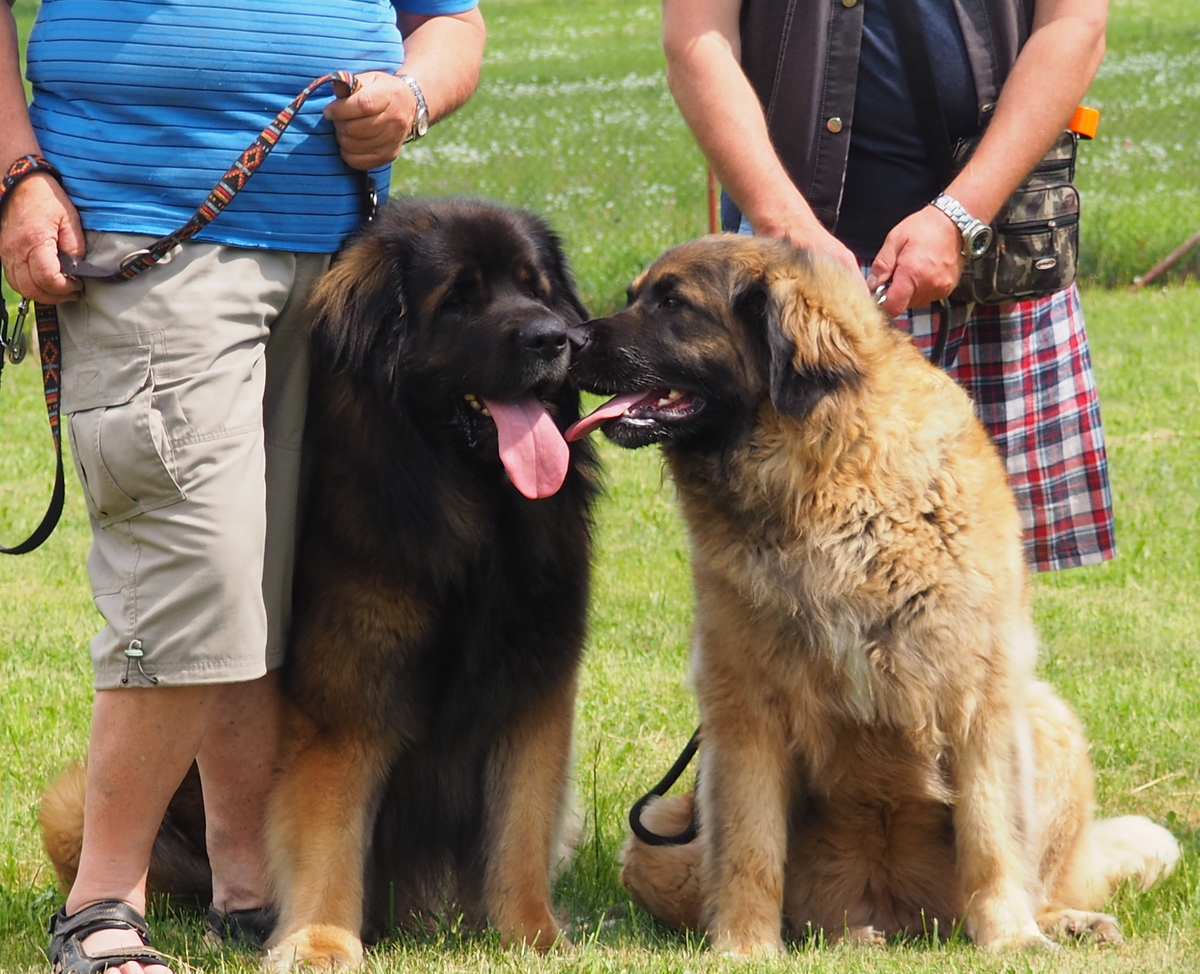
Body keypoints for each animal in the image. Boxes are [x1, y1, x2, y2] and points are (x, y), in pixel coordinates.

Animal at [564, 236, 1180, 950]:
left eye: (672, 304)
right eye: (636, 296)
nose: (570, 340)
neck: (823, 483)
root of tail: (894, 909)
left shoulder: (981, 695)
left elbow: (993, 838)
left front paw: (1012, 940)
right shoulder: (743, 706)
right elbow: (749, 844)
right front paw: (744, 946)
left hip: (1047, 721)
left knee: (1041, 875)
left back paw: (1061, 920)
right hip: (660, 830)